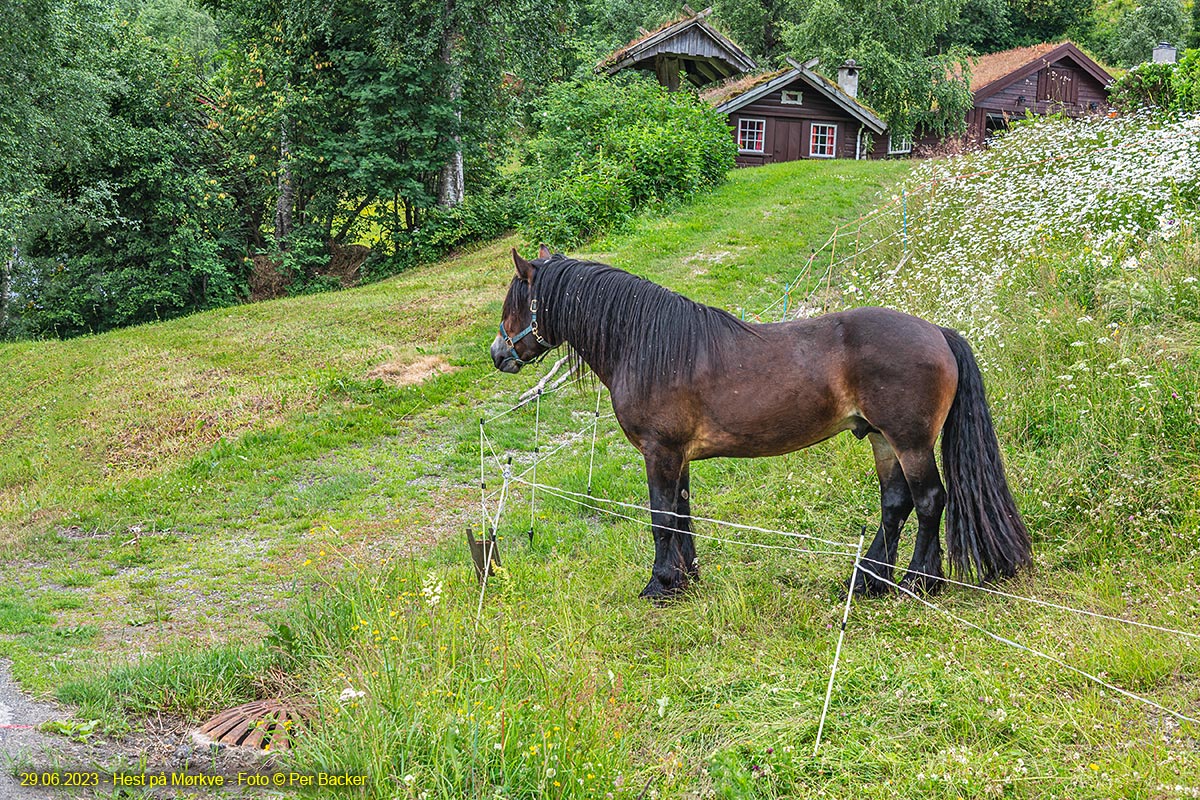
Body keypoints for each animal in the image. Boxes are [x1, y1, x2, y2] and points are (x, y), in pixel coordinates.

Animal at [489, 247, 1032, 597]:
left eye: (515, 303)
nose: (498, 354)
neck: (646, 345)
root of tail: (937, 332)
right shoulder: (679, 457)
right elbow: (683, 516)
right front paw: (687, 579)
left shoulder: (660, 452)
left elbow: (662, 518)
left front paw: (660, 584)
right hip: (882, 439)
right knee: (895, 504)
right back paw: (868, 582)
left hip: (910, 441)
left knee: (929, 501)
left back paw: (920, 581)